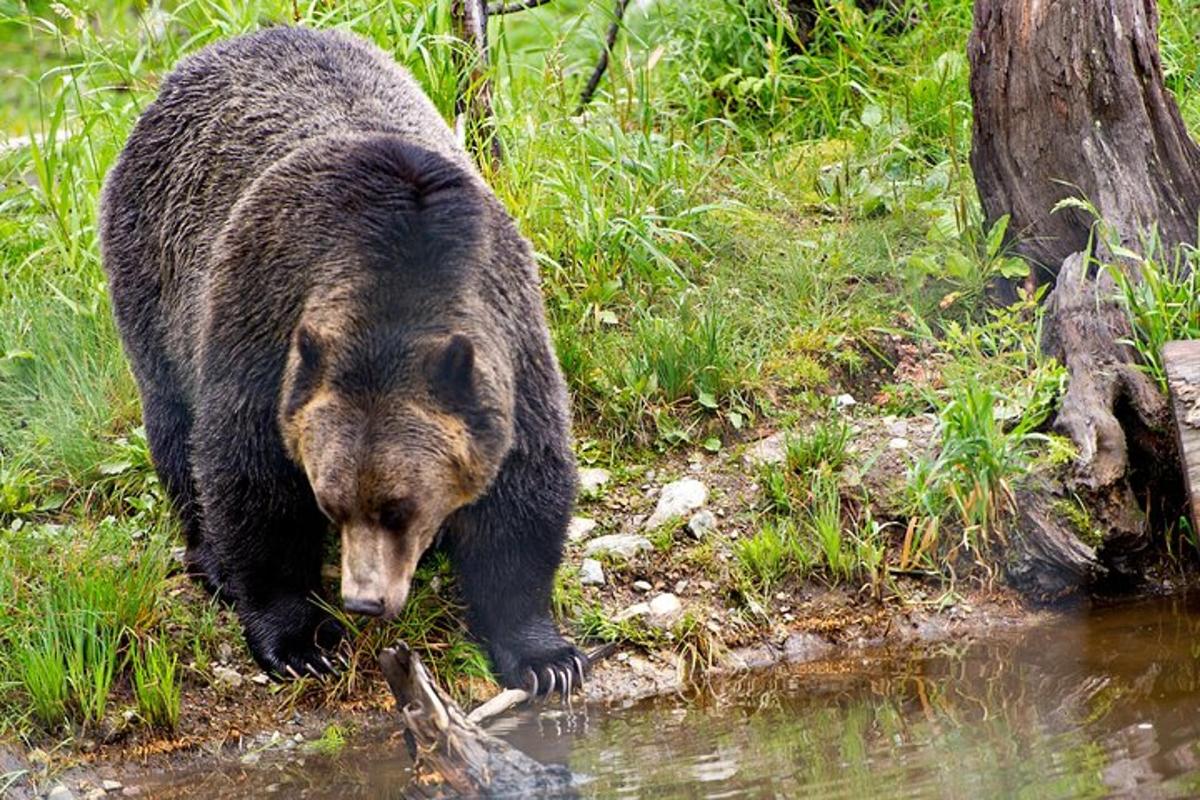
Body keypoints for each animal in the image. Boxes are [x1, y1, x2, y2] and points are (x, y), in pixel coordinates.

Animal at [96, 26, 583, 695]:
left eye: (399, 506)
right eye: (331, 502)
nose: (365, 601)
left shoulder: (510, 337)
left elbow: (524, 492)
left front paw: (545, 658)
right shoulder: (264, 322)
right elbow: (251, 479)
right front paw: (299, 640)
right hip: (153, 271)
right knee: (174, 424)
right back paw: (210, 561)